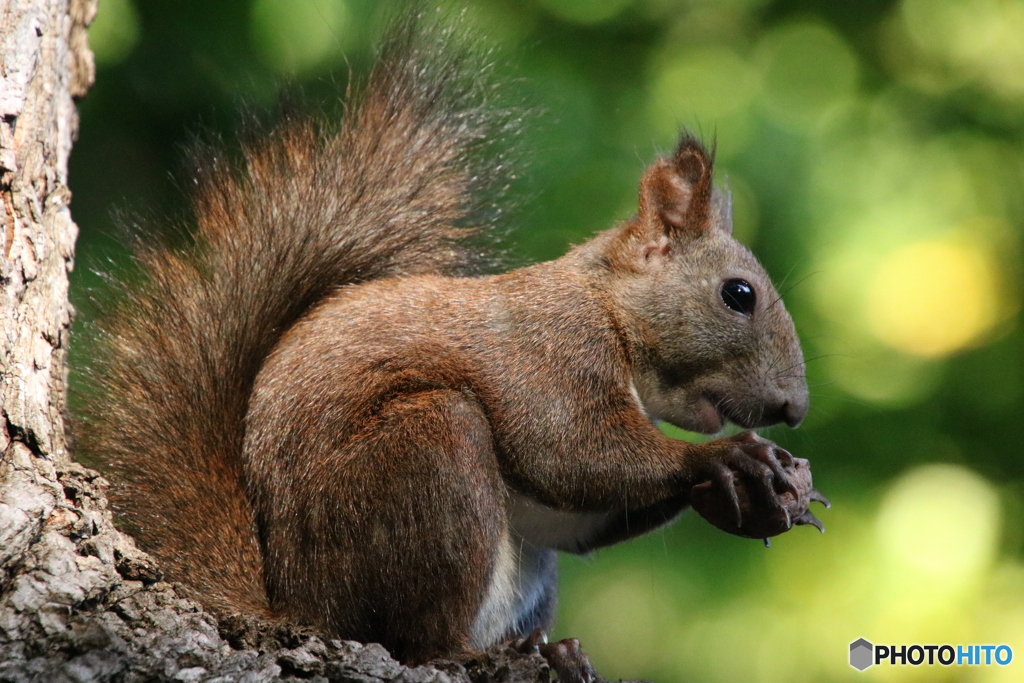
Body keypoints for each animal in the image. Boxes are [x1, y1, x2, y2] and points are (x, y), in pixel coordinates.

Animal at [74, 7, 823, 679]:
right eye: (738, 294)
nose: (795, 408)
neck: (608, 309)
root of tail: (299, 605)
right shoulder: (548, 355)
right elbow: (571, 453)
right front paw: (726, 460)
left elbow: (569, 512)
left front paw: (751, 496)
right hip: (425, 460)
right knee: (417, 640)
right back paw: (479, 655)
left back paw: (552, 653)